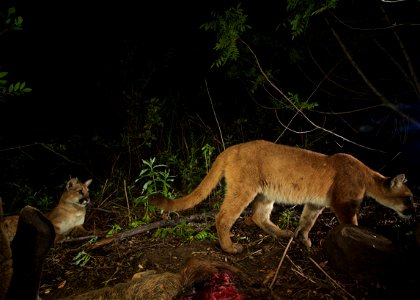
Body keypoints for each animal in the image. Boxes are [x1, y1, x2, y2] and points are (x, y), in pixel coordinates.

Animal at [151, 140, 414, 253]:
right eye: (409, 197)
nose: (414, 210)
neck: (368, 177)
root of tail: (231, 148)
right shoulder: (344, 204)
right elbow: (352, 224)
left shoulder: (315, 204)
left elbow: (306, 222)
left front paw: (303, 240)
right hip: (244, 188)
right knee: (223, 217)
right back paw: (230, 248)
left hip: (267, 192)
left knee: (258, 216)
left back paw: (282, 233)